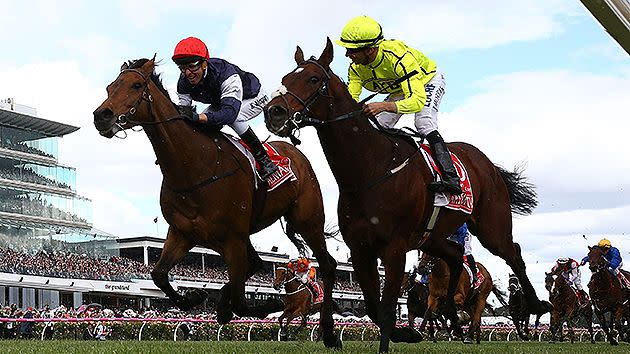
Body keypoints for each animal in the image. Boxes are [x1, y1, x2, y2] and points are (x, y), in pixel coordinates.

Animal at [90, 58, 340, 348]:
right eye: (110, 87)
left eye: (136, 85)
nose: (101, 115)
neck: (194, 167)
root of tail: (297, 153)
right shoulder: (182, 233)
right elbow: (159, 275)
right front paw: (194, 298)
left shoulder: (232, 238)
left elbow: (244, 303)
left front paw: (267, 305)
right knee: (255, 264)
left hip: (307, 222)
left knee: (326, 264)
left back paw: (329, 332)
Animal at [264, 37, 552, 352]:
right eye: (285, 79)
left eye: (313, 79)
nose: (274, 112)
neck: (370, 169)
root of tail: (487, 164)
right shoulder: (361, 249)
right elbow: (374, 307)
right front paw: (408, 333)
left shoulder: (395, 248)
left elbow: (387, 308)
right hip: (433, 237)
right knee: (455, 256)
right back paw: (453, 313)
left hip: (491, 227)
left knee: (514, 253)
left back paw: (536, 304)